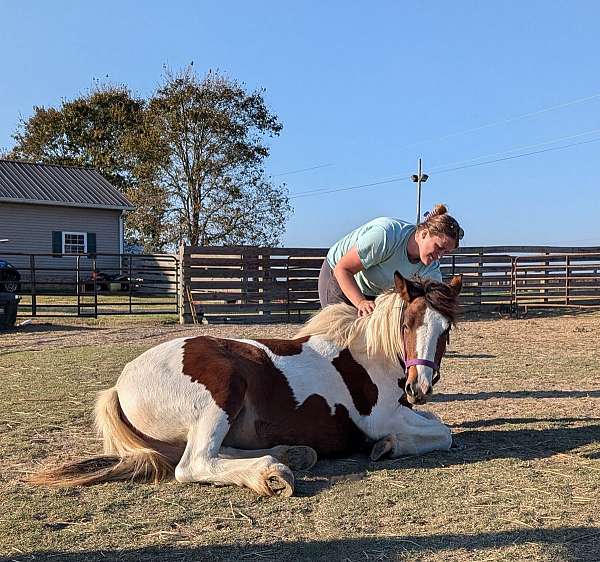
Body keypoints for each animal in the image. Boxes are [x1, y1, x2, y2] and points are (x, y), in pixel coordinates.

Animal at [29, 272, 464, 494]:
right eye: (407, 324)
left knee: (215, 453)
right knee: (194, 464)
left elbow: (439, 427)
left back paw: (290, 454)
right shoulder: (382, 417)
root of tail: (119, 387)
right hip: (223, 391)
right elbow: (444, 433)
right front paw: (388, 446)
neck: (367, 355)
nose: (419, 387)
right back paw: (270, 473)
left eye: (445, 329)